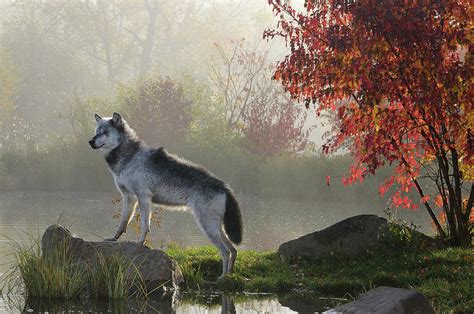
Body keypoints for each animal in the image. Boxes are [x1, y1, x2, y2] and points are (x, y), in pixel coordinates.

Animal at [89, 113, 243, 278]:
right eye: (96, 131)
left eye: (104, 132)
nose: (90, 141)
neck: (129, 157)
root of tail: (225, 187)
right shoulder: (129, 197)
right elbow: (122, 223)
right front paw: (113, 239)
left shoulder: (143, 198)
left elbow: (145, 225)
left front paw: (140, 243)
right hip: (217, 228)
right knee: (233, 250)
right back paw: (229, 275)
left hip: (208, 227)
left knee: (226, 252)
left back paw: (223, 278)